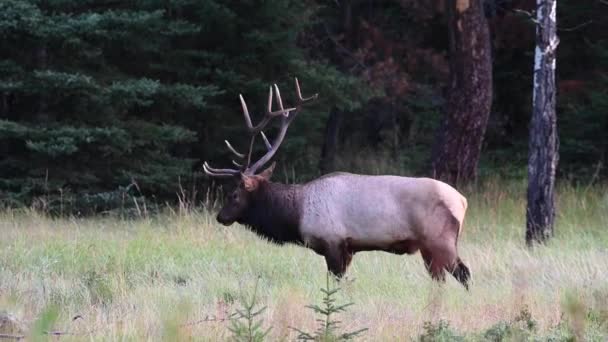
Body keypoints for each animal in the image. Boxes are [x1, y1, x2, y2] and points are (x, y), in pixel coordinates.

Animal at [203, 79, 470, 288]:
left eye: (234, 194)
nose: (220, 217)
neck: (297, 215)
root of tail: (462, 201)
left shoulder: (333, 242)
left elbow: (336, 282)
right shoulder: (348, 249)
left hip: (439, 240)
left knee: (464, 273)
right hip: (429, 248)